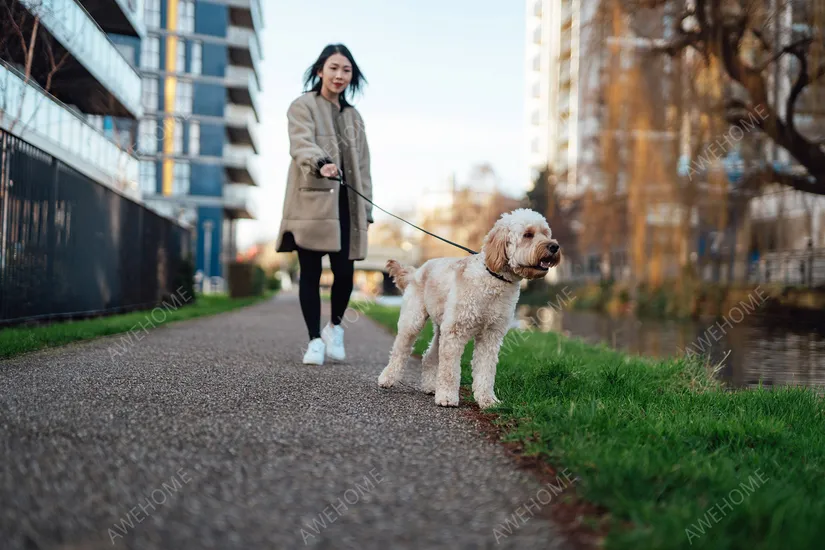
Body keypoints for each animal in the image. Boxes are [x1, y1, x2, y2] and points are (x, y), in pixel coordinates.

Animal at [378, 210, 560, 410]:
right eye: (528, 234)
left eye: (546, 233)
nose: (554, 246)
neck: (493, 279)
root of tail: (416, 271)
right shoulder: (455, 332)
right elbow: (450, 369)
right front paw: (447, 397)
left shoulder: (490, 336)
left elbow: (485, 370)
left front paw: (487, 400)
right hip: (413, 321)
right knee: (400, 350)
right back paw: (387, 378)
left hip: (441, 327)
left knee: (429, 356)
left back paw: (430, 386)